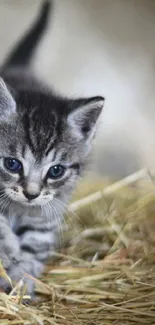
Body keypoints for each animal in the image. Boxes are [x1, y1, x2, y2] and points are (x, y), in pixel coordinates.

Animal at [0, 0, 104, 294]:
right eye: (12, 164)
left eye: (56, 171)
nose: (31, 194)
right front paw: (9, 252)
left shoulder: (48, 211)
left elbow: (35, 244)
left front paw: (23, 278)